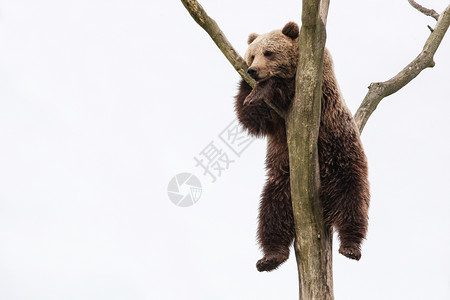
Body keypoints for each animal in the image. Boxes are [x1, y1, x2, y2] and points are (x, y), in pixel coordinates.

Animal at [236, 22, 370, 274]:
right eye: (252, 55)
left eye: (269, 53)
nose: (253, 71)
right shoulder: (275, 120)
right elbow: (251, 118)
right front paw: (250, 92)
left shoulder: (316, 86)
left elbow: (287, 88)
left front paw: (264, 88)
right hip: (283, 181)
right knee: (272, 213)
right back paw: (270, 257)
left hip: (343, 156)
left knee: (352, 200)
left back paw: (351, 246)